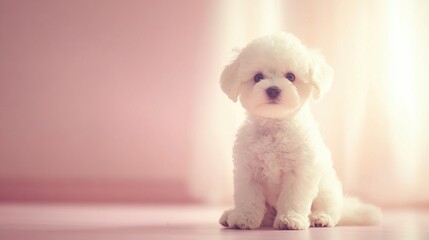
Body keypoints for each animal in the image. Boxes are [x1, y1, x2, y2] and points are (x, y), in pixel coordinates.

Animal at [219, 32, 380, 230]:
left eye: (290, 76)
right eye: (257, 77)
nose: (273, 90)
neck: (275, 125)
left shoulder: (300, 171)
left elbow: (293, 198)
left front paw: (290, 218)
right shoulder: (248, 171)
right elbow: (248, 198)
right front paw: (244, 217)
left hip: (327, 189)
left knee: (331, 208)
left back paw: (320, 218)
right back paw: (230, 214)